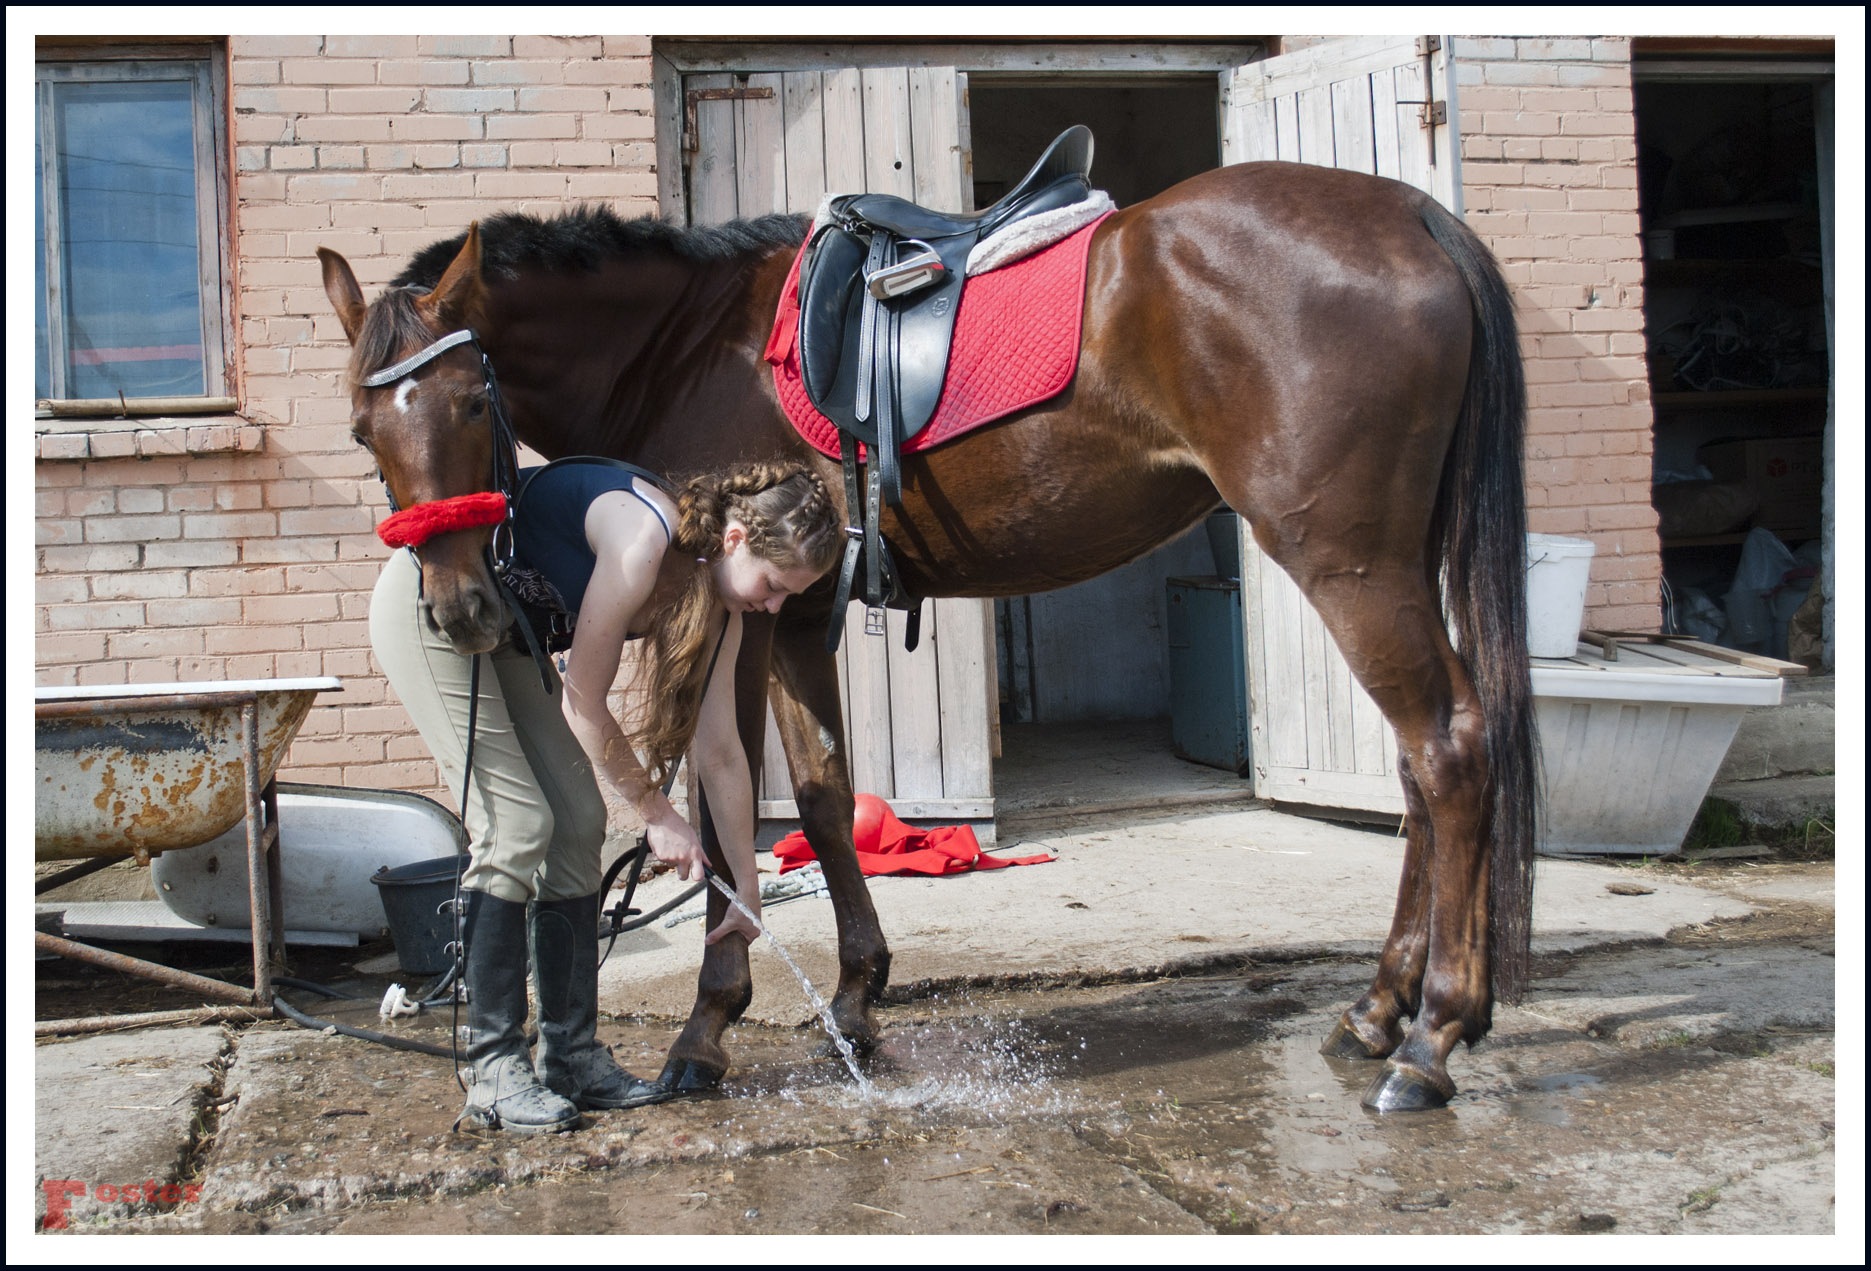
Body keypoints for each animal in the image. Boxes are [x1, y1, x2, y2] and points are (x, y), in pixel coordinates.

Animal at [314, 161, 1526, 1115]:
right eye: (363, 428)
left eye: (473, 402)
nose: (460, 608)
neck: (691, 345)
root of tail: (1413, 215)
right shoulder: (800, 616)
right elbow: (817, 795)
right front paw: (856, 999)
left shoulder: (742, 617)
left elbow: (724, 814)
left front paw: (707, 1029)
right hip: (1387, 561)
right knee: (1419, 769)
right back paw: (1375, 1011)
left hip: (1347, 563)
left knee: (1449, 748)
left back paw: (1428, 1039)